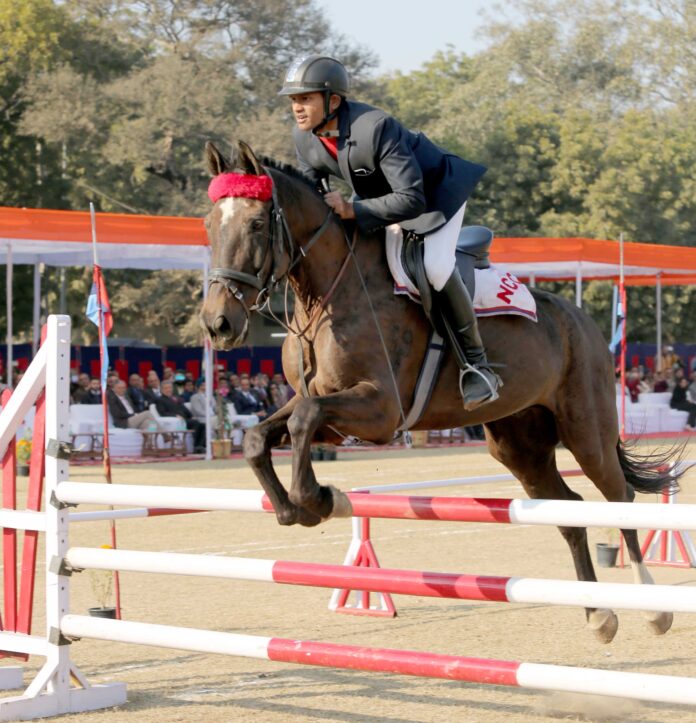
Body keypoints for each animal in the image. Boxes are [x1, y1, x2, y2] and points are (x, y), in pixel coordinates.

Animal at [199, 139, 682, 644]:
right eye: (209, 225)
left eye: (257, 224)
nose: (218, 324)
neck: (327, 294)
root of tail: (582, 321)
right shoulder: (326, 403)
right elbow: (262, 435)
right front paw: (295, 509)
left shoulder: (380, 411)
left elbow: (303, 419)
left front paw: (321, 500)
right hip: (520, 444)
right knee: (568, 510)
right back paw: (599, 615)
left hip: (586, 432)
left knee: (621, 498)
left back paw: (653, 609)